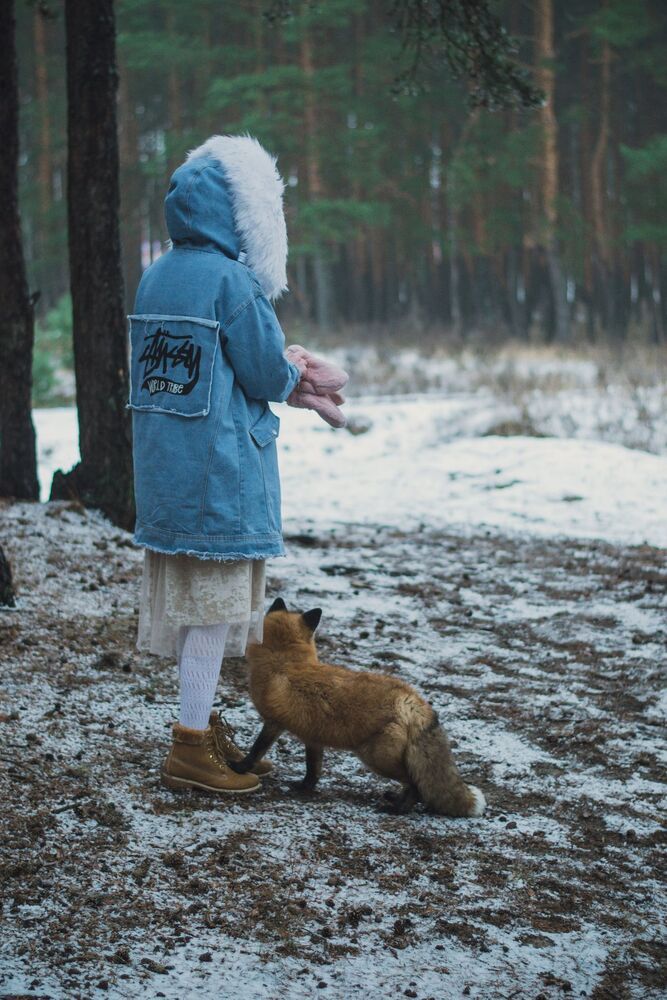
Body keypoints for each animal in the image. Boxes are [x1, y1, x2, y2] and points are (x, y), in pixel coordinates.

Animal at [229, 598, 486, 817]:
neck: (285, 663)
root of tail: (411, 698)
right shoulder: (313, 737)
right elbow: (314, 768)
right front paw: (305, 787)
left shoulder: (274, 723)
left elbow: (256, 751)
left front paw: (239, 767)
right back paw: (396, 799)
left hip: (375, 757)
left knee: (416, 785)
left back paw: (398, 809)